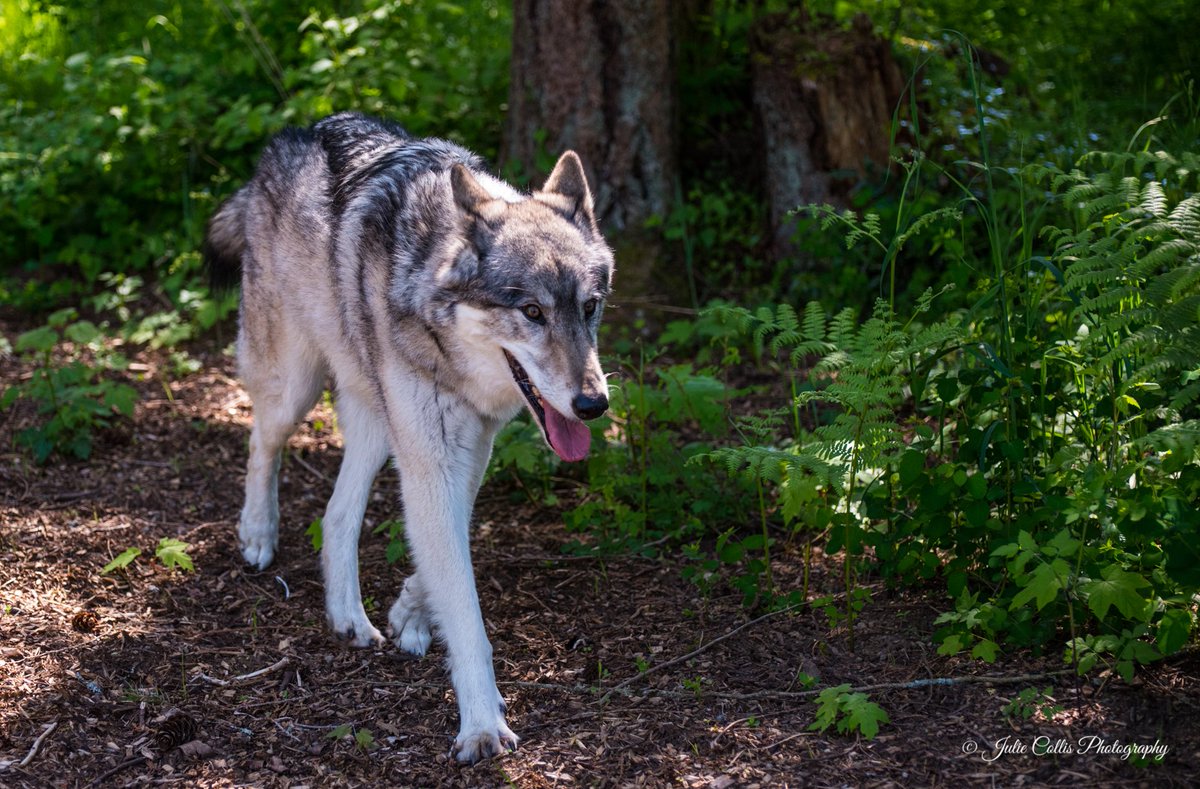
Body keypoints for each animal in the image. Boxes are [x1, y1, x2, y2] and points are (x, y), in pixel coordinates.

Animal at [203, 112, 614, 762]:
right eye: (531, 312)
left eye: (591, 307)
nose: (593, 405)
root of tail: (290, 136)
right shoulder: (432, 458)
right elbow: (465, 608)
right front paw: (481, 726)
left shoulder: (469, 449)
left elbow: (445, 547)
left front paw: (411, 614)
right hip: (295, 388)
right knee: (261, 444)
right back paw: (258, 534)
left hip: (376, 424)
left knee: (336, 515)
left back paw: (350, 617)